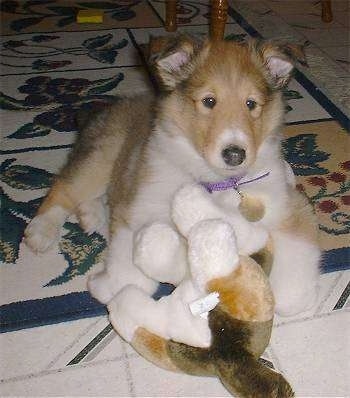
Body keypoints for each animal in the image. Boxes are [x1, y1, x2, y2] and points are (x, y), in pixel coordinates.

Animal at [23, 35, 320, 316]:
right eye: (209, 101)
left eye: (251, 104)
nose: (235, 154)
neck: (213, 181)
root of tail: (100, 109)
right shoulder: (140, 206)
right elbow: (129, 272)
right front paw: (111, 289)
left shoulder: (287, 208)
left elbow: (293, 292)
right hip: (103, 155)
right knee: (65, 186)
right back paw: (41, 231)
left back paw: (92, 216)